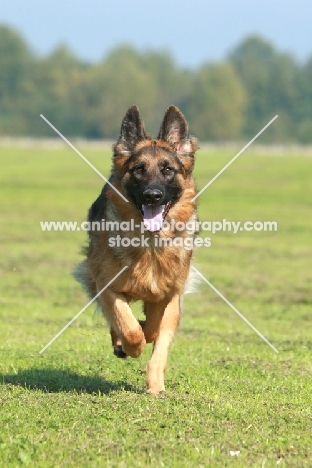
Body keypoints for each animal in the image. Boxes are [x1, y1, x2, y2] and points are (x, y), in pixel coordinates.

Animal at [73, 104, 197, 394]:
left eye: (167, 169)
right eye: (139, 169)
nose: (153, 195)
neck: (150, 245)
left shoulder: (170, 296)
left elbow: (155, 334)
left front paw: (155, 387)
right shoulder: (108, 287)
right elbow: (128, 328)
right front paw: (131, 345)